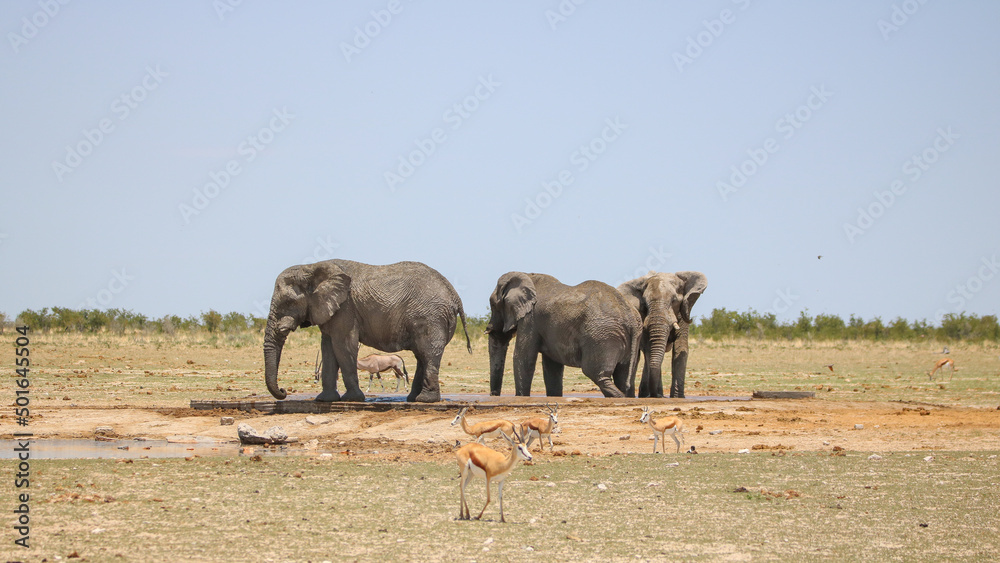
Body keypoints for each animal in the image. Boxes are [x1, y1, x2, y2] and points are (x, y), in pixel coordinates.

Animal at [263, 259, 470, 403]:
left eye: (288, 302)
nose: (283, 391)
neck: (312, 267)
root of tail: (455, 295)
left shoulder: (346, 308)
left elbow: (344, 346)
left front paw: (352, 399)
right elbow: (328, 349)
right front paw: (324, 400)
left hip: (431, 317)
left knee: (428, 354)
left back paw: (425, 400)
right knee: (421, 355)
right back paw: (413, 399)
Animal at [486, 272, 641, 398]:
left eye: (492, 305)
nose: (494, 395)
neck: (526, 274)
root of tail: (631, 318)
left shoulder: (530, 319)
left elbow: (523, 357)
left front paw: (522, 398)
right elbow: (552, 367)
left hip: (602, 336)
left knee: (596, 373)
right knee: (623, 377)